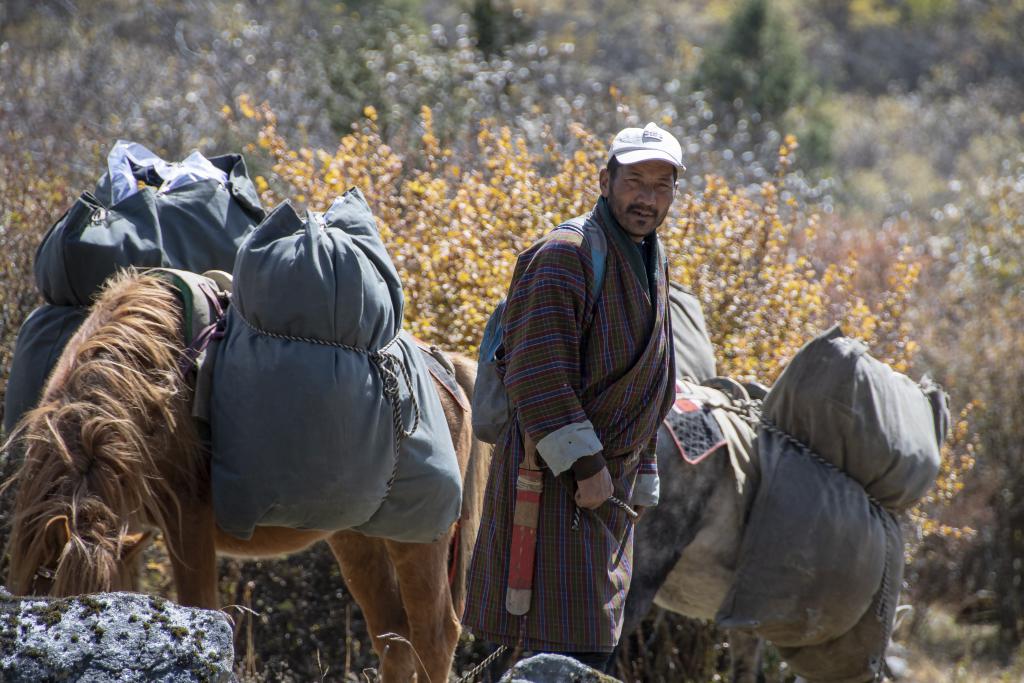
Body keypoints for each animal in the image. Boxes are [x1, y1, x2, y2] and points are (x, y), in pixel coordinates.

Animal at [4, 270, 491, 679]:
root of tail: (445, 370)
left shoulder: (187, 520)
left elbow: (199, 605)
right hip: (357, 540)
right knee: (394, 635)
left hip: (418, 540)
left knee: (434, 633)